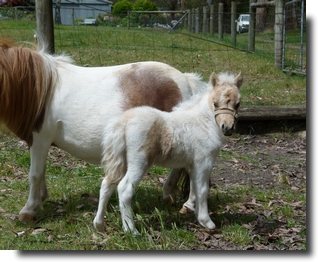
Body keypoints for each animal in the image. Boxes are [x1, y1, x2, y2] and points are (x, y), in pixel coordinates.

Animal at [93, 71, 242, 233]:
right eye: (215, 103)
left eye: (238, 104)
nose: (227, 128)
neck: (202, 122)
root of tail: (123, 122)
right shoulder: (204, 162)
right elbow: (202, 189)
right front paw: (207, 222)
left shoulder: (191, 164)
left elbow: (194, 188)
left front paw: (194, 213)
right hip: (139, 162)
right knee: (124, 189)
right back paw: (131, 230)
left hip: (121, 159)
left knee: (107, 184)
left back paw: (99, 224)